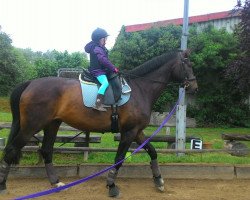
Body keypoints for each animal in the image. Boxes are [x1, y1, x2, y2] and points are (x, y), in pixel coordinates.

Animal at [0, 49, 197, 197]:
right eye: (188, 65)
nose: (194, 88)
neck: (140, 89)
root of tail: (30, 83)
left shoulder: (137, 131)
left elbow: (153, 152)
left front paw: (159, 181)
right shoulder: (129, 133)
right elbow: (119, 159)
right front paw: (112, 186)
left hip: (52, 124)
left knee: (46, 150)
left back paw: (56, 183)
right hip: (31, 126)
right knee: (11, 149)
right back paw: (3, 185)